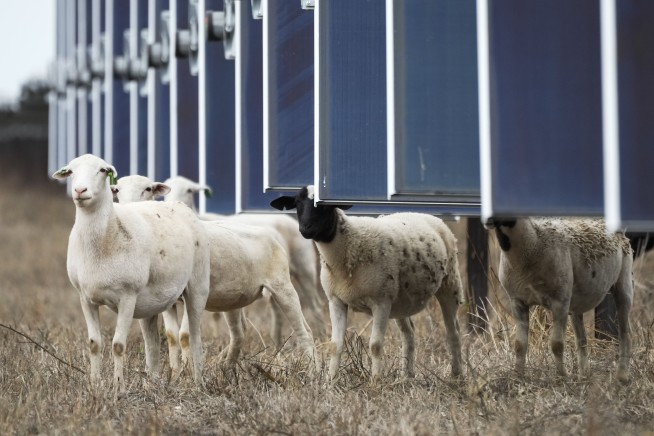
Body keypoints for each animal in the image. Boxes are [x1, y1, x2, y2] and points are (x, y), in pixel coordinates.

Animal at [51, 154, 210, 394]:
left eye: (102, 170)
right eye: (70, 171)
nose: (80, 190)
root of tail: (178, 205)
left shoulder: (127, 296)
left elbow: (118, 345)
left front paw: (119, 387)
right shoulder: (85, 297)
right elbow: (94, 344)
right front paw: (95, 385)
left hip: (197, 287)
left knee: (194, 336)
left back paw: (198, 381)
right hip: (152, 303)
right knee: (153, 343)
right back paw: (153, 382)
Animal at [111, 174, 316, 368]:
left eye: (148, 189)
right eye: (117, 190)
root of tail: (270, 234)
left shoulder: (192, 294)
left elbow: (185, 335)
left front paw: (186, 370)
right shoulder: (169, 301)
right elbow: (172, 336)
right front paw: (175, 371)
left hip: (284, 285)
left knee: (305, 329)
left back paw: (313, 370)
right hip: (234, 298)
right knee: (240, 331)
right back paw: (227, 367)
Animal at [270, 186, 464, 382]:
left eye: (324, 205)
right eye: (297, 203)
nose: (305, 229)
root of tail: (424, 214)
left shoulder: (381, 302)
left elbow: (375, 346)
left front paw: (376, 382)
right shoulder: (336, 300)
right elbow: (335, 345)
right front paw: (330, 381)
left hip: (450, 283)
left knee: (453, 332)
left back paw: (457, 376)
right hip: (400, 299)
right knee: (409, 333)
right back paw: (407, 376)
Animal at [486, 217, 633, 382]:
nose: (487, 220)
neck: (533, 243)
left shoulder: (560, 301)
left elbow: (556, 344)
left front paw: (562, 377)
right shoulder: (518, 301)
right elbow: (520, 344)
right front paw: (517, 376)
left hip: (624, 281)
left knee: (625, 333)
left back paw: (622, 376)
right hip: (576, 301)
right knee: (581, 339)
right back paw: (583, 376)